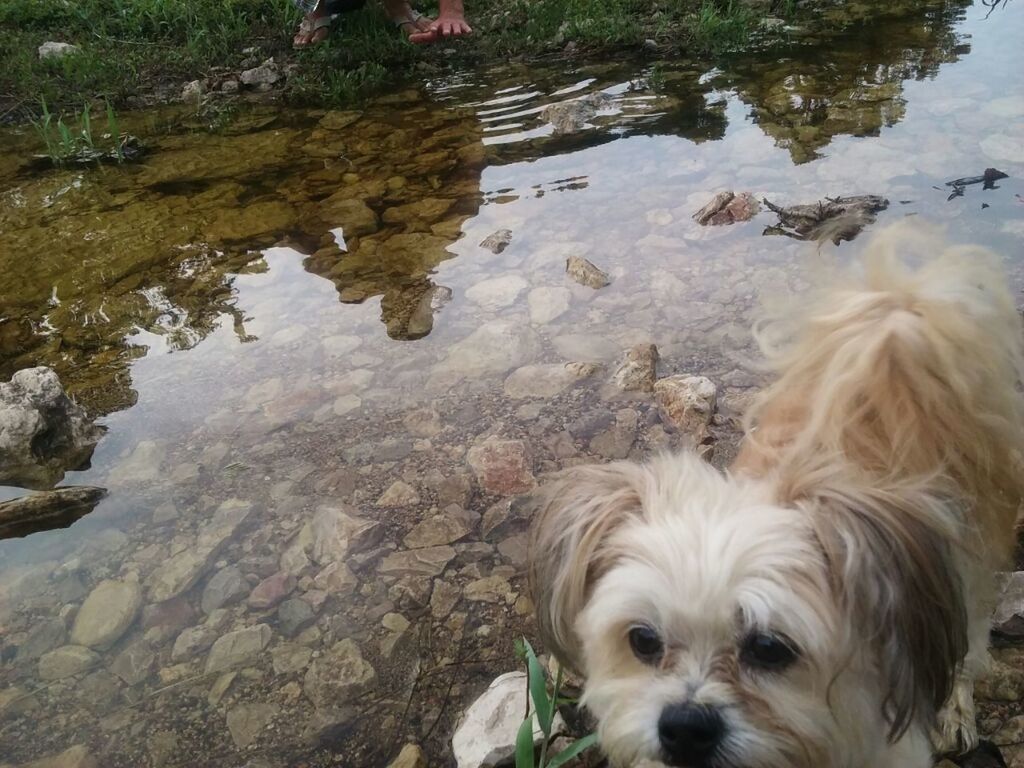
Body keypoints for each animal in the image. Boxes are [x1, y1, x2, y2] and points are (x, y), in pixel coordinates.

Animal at [528, 219, 1024, 765]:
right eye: (643, 640)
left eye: (768, 648)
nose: (684, 726)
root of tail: (895, 315)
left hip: (971, 563)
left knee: (968, 639)